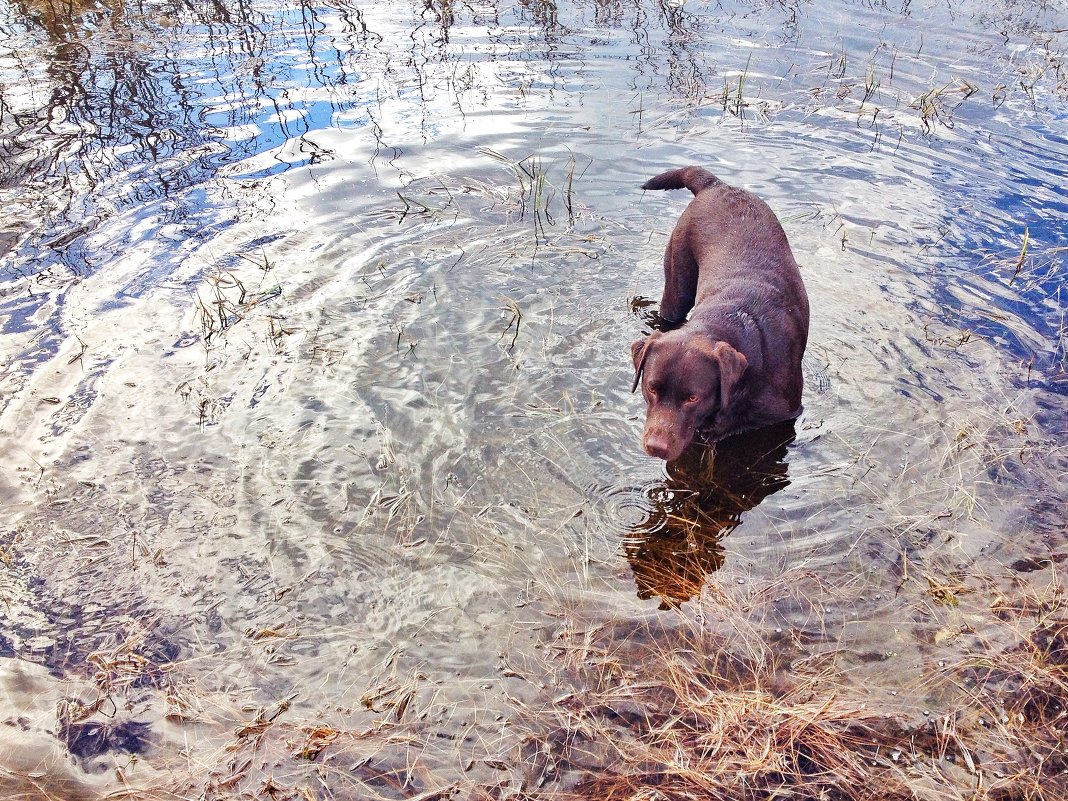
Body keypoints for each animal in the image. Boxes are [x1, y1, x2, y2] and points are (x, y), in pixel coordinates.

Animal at [623, 166, 807, 461]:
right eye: (651, 388)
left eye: (692, 398)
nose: (655, 447)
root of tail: (716, 185)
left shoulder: (783, 417)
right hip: (676, 285)